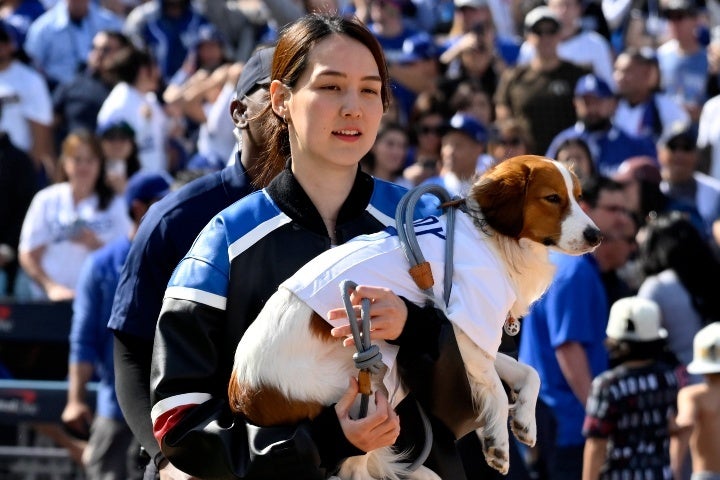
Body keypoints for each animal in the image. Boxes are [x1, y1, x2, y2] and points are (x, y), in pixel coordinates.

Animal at [231, 156, 600, 478]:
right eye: (552, 198)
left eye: (578, 197)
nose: (596, 236)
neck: (491, 236)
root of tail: (241, 390)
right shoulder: (466, 325)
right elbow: (495, 387)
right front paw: (497, 443)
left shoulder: (471, 335)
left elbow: (528, 372)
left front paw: (524, 419)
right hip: (357, 387)